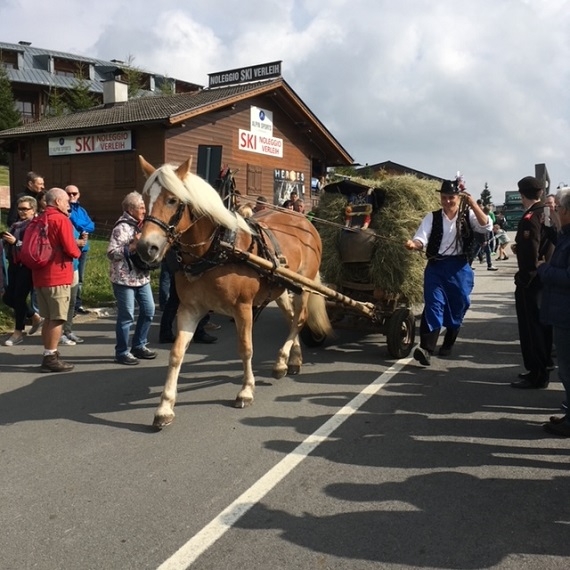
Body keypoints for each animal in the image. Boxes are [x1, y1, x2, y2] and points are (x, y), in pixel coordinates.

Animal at [136, 155, 330, 426]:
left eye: (172, 200)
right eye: (145, 198)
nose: (146, 248)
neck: (214, 249)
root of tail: (305, 222)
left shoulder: (243, 307)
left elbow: (245, 348)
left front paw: (246, 391)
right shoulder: (189, 309)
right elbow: (176, 353)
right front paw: (165, 407)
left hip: (303, 286)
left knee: (300, 319)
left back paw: (282, 360)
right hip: (281, 288)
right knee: (292, 319)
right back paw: (291, 360)